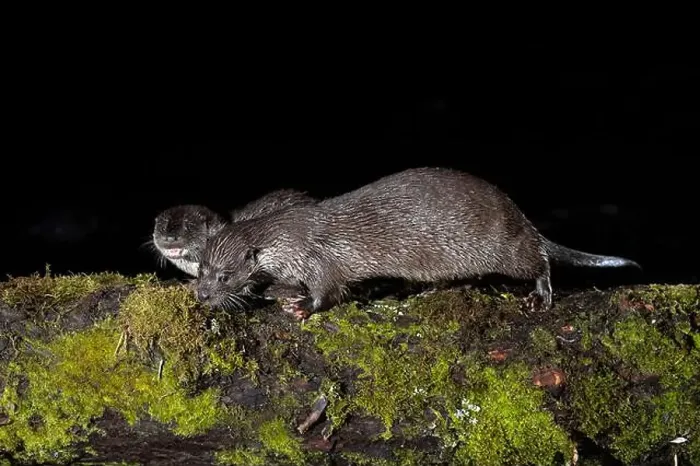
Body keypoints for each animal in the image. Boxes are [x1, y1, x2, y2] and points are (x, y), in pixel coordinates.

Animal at [195, 167, 641, 319]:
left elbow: (330, 290)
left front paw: (303, 305)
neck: (287, 238)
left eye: (224, 275)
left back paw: (541, 294)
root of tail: (518, 213)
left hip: (505, 244)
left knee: (539, 259)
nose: (201, 295)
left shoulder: (317, 256)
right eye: (201, 268)